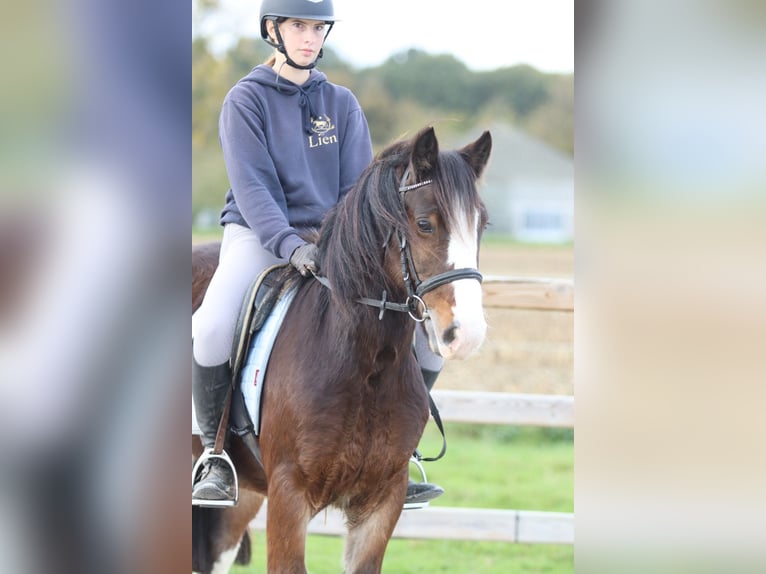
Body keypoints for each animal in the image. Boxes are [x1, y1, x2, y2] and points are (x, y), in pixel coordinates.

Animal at [192, 126, 492, 573]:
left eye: (482, 226)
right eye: (424, 224)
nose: (467, 333)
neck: (365, 365)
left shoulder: (382, 502)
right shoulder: (288, 498)